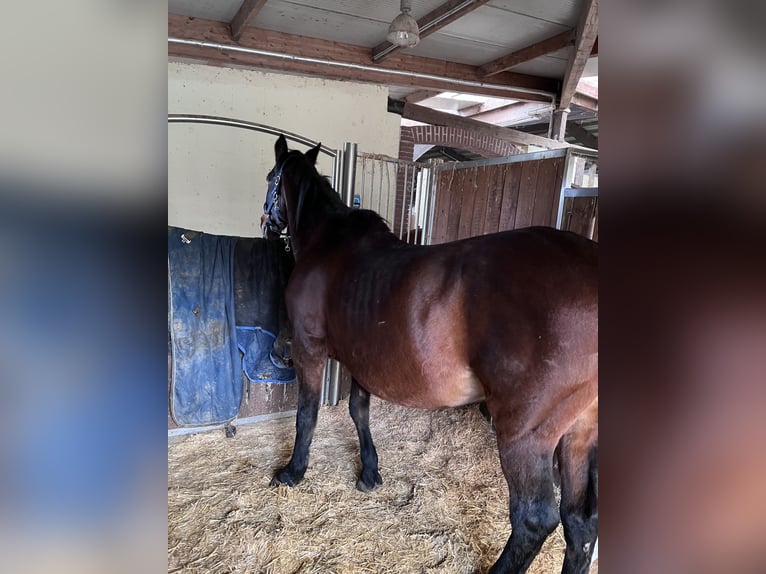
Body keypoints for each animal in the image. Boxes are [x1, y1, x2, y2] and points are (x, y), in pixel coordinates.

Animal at [261, 134, 598, 574]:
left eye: (270, 178)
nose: (267, 223)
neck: (327, 244)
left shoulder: (309, 350)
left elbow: (307, 414)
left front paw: (293, 471)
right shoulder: (361, 358)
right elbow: (358, 410)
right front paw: (369, 472)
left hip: (527, 434)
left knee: (534, 519)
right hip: (580, 431)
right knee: (580, 523)